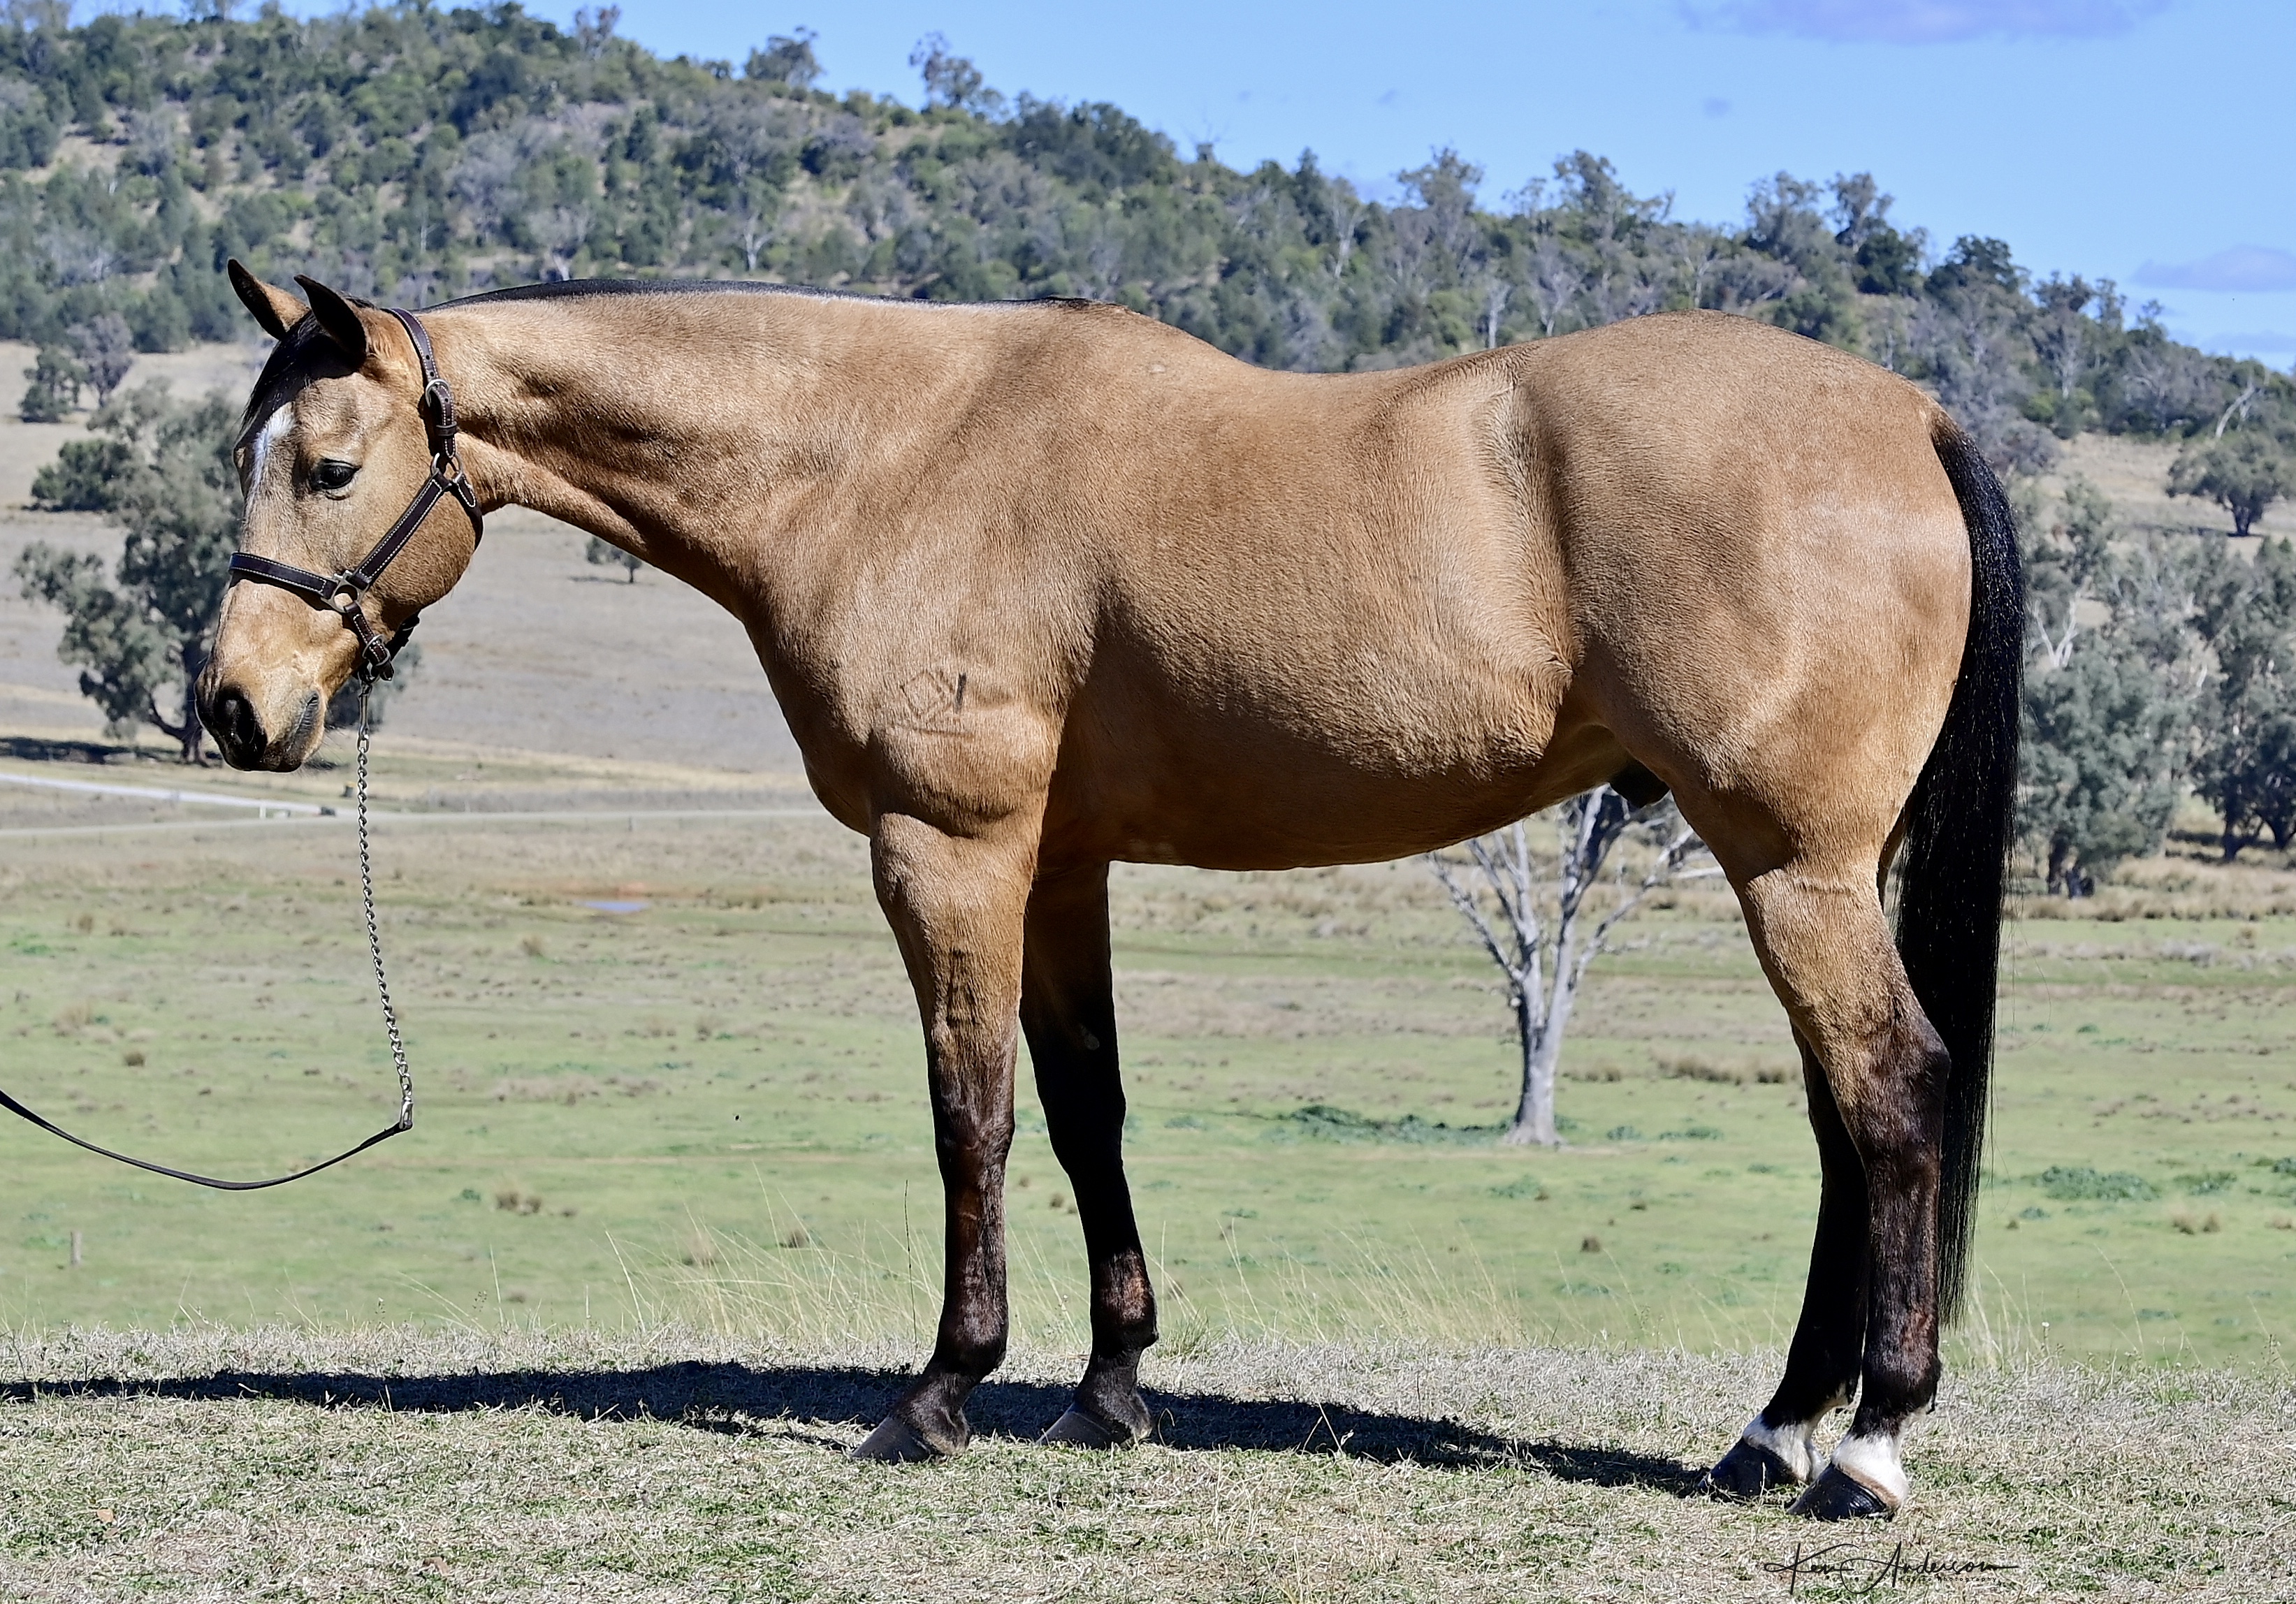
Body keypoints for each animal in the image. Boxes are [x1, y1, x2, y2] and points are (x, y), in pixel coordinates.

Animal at [199, 265, 2018, 1521]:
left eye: (334, 465)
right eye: (248, 455)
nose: (234, 706)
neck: (882, 457)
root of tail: (1906, 415)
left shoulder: (949, 848)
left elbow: (972, 1114)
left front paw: (940, 1391)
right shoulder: (1061, 864)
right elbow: (1087, 1115)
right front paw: (1109, 1383)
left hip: (1790, 869)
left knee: (1892, 1096)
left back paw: (1864, 1445)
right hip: (1800, 875)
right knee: (1842, 1129)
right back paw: (1774, 1430)